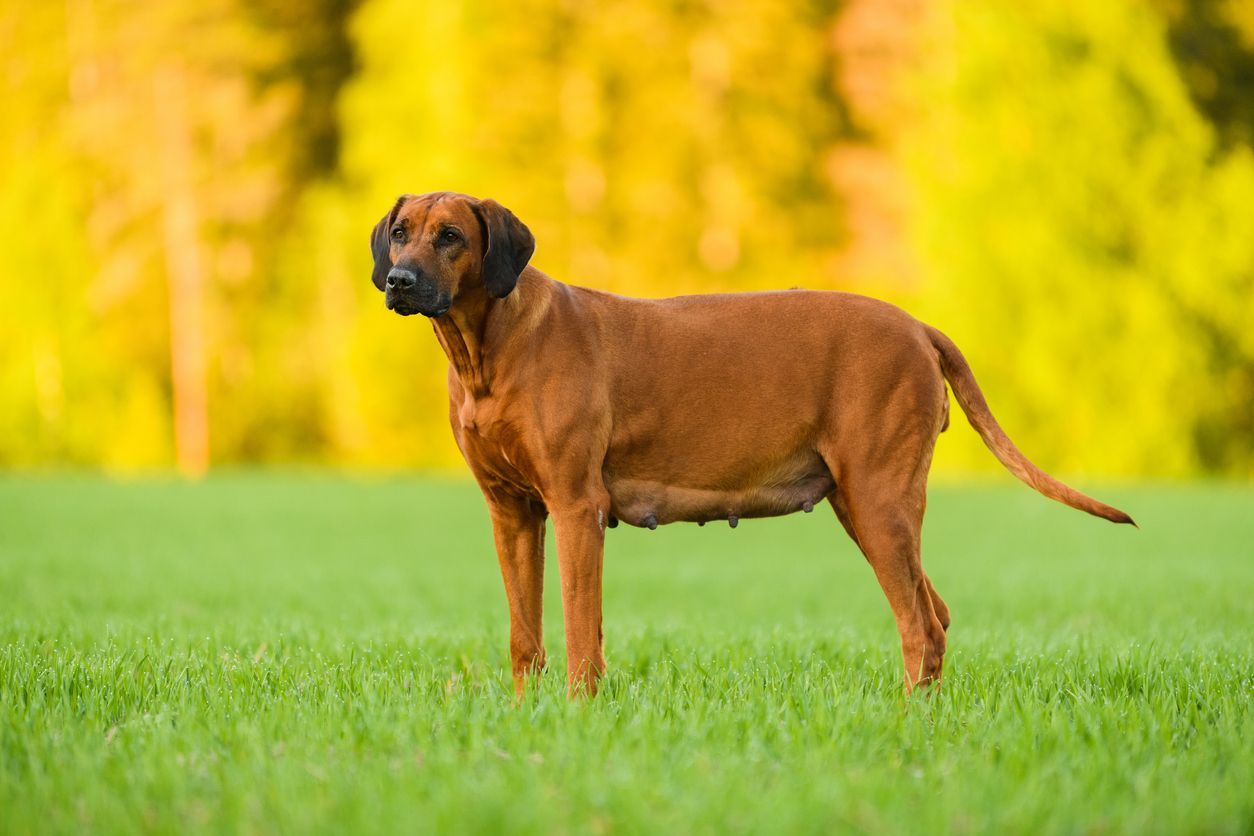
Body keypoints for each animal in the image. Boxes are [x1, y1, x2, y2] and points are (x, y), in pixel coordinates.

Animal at [366, 193, 1133, 696]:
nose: (399, 281)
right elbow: (524, 632)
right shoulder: (513, 513)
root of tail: (918, 326)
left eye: (450, 237)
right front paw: (529, 713)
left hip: (879, 500)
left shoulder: (578, 506)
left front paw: (581, 711)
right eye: (400, 233)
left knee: (922, 624)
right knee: (935, 612)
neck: (488, 352)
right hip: (864, 505)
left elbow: (582, 629)